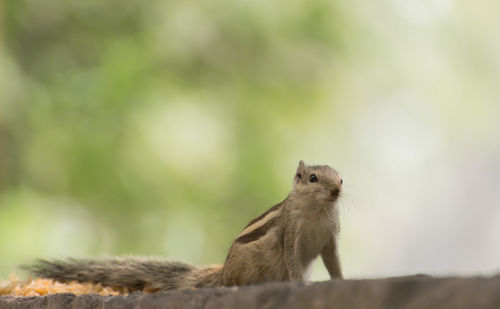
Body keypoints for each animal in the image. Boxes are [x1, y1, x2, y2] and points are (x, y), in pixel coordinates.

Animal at [24, 161, 344, 292]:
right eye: (313, 178)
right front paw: (298, 282)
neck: (317, 211)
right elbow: (290, 257)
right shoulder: (291, 235)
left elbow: (334, 262)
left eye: (341, 178)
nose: (336, 191)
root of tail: (223, 273)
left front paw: (339, 279)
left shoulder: (329, 238)